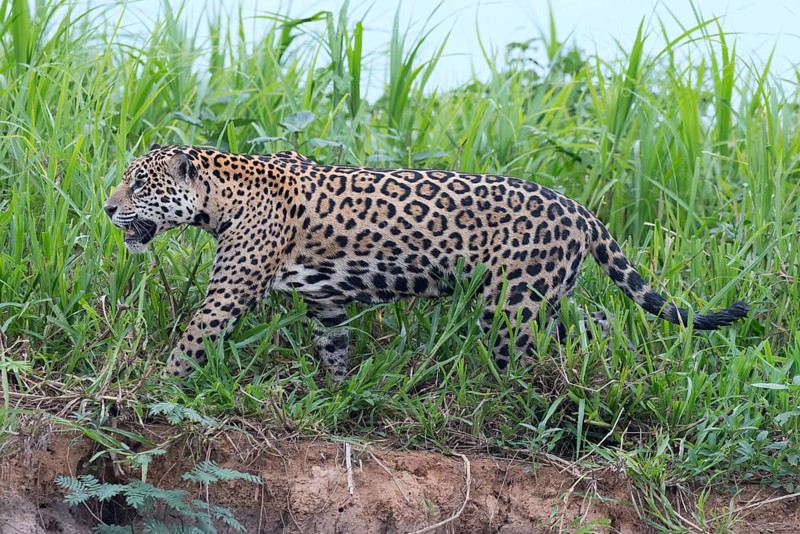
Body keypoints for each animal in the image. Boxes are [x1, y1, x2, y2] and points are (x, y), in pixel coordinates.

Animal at [104, 144, 750, 379]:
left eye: (139, 183)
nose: (108, 207)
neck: (220, 198)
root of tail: (580, 209)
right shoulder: (326, 300)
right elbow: (334, 346)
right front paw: (337, 395)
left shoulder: (229, 292)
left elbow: (192, 341)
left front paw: (154, 390)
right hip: (546, 296)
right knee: (596, 322)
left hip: (512, 304)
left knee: (526, 357)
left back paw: (516, 401)